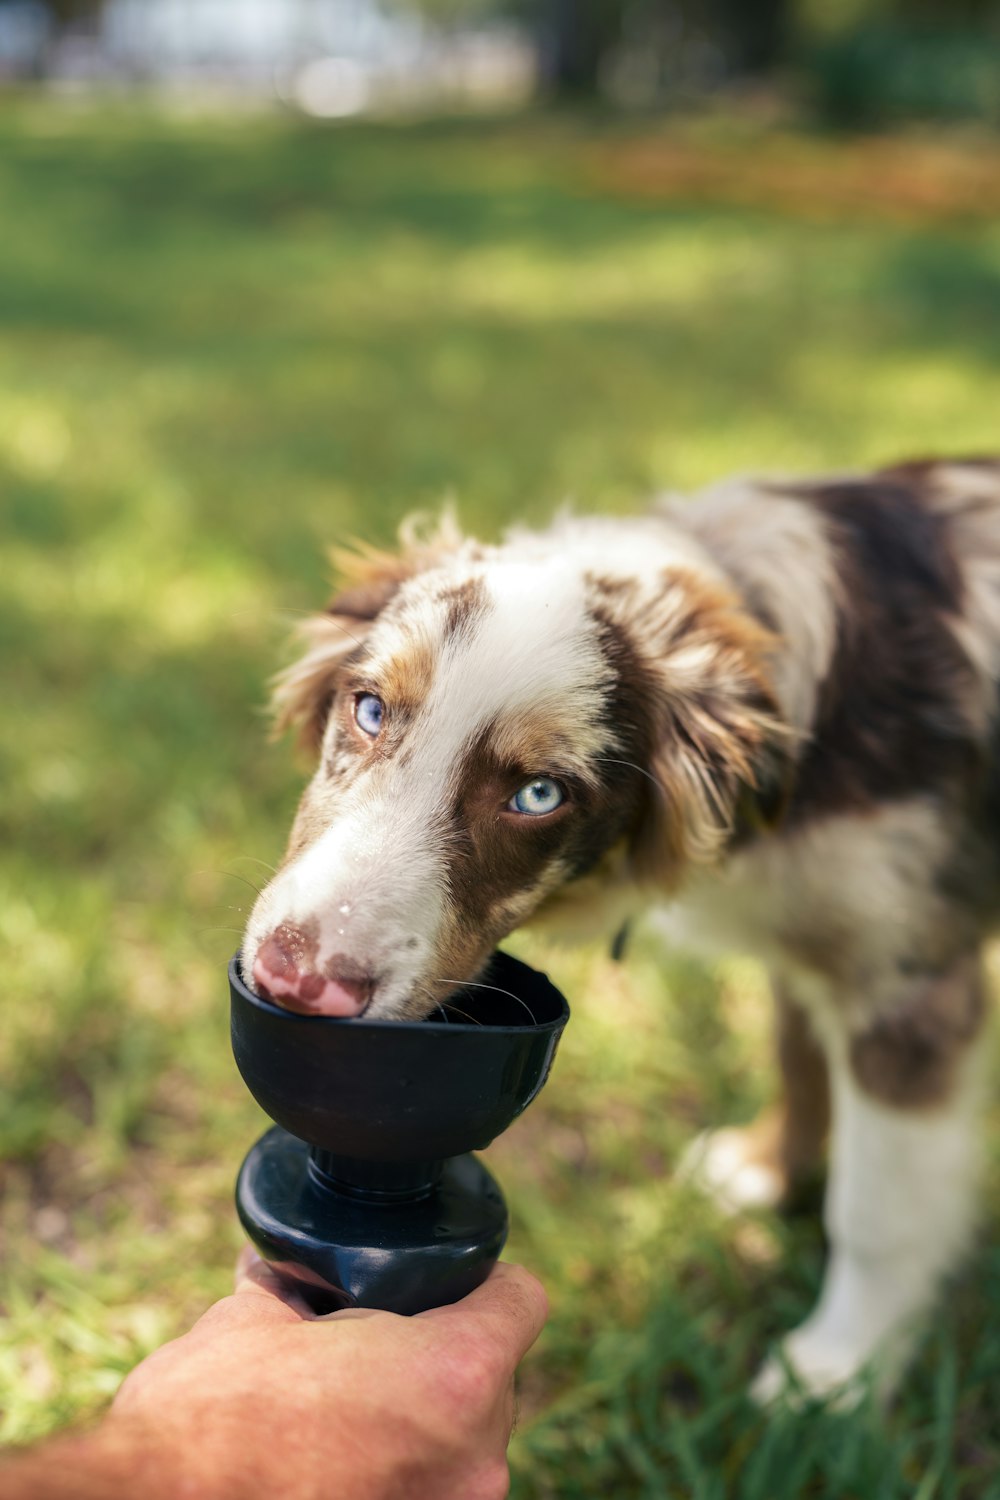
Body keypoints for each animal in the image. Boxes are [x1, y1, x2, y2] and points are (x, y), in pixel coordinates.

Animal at [242, 459, 1000, 1404]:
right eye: (370, 710)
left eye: (539, 795)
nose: (295, 980)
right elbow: (798, 1055)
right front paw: (766, 1170)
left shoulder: (908, 978)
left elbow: (878, 1208)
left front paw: (835, 1371)